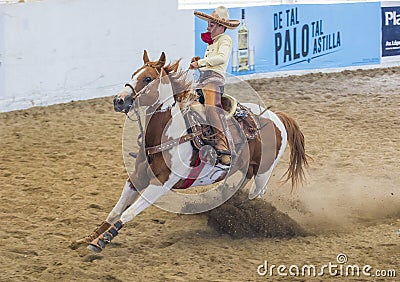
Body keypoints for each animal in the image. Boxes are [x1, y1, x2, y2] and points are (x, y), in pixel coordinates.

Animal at [78, 51, 310, 253]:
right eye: (133, 74)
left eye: (147, 79)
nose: (118, 100)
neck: (168, 135)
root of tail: (276, 116)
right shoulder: (137, 176)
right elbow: (116, 210)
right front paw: (89, 237)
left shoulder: (160, 185)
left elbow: (128, 213)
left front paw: (102, 241)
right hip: (245, 168)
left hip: (263, 172)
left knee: (257, 194)